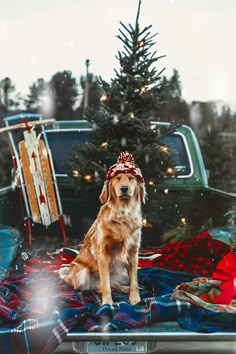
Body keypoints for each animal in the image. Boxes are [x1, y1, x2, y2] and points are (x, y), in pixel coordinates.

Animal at [59, 151, 146, 304]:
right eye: (117, 179)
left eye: (131, 178)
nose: (124, 188)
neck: (123, 213)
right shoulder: (103, 254)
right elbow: (105, 283)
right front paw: (107, 303)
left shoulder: (133, 253)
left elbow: (134, 281)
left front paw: (135, 298)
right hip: (82, 273)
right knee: (91, 286)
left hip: (122, 272)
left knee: (111, 284)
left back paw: (125, 288)